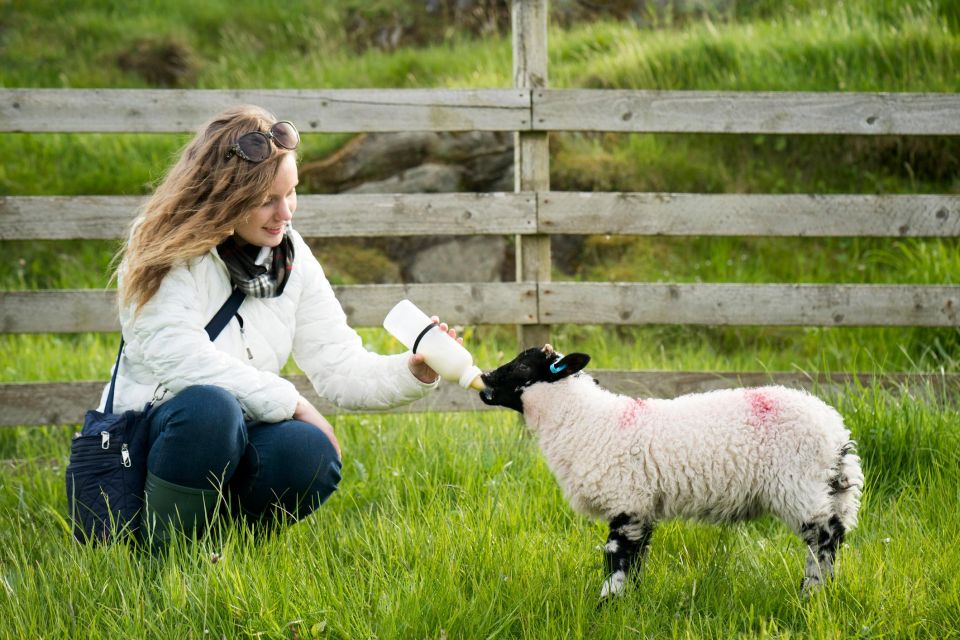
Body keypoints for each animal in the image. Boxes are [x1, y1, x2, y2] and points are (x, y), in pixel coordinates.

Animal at [480, 344, 864, 600]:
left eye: (524, 366)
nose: (483, 378)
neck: (585, 420)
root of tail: (836, 431)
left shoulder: (627, 501)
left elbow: (617, 559)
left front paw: (606, 605)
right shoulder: (643, 507)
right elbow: (635, 561)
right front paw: (627, 606)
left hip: (798, 484)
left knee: (825, 536)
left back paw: (811, 594)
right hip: (824, 487)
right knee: (834, 533)